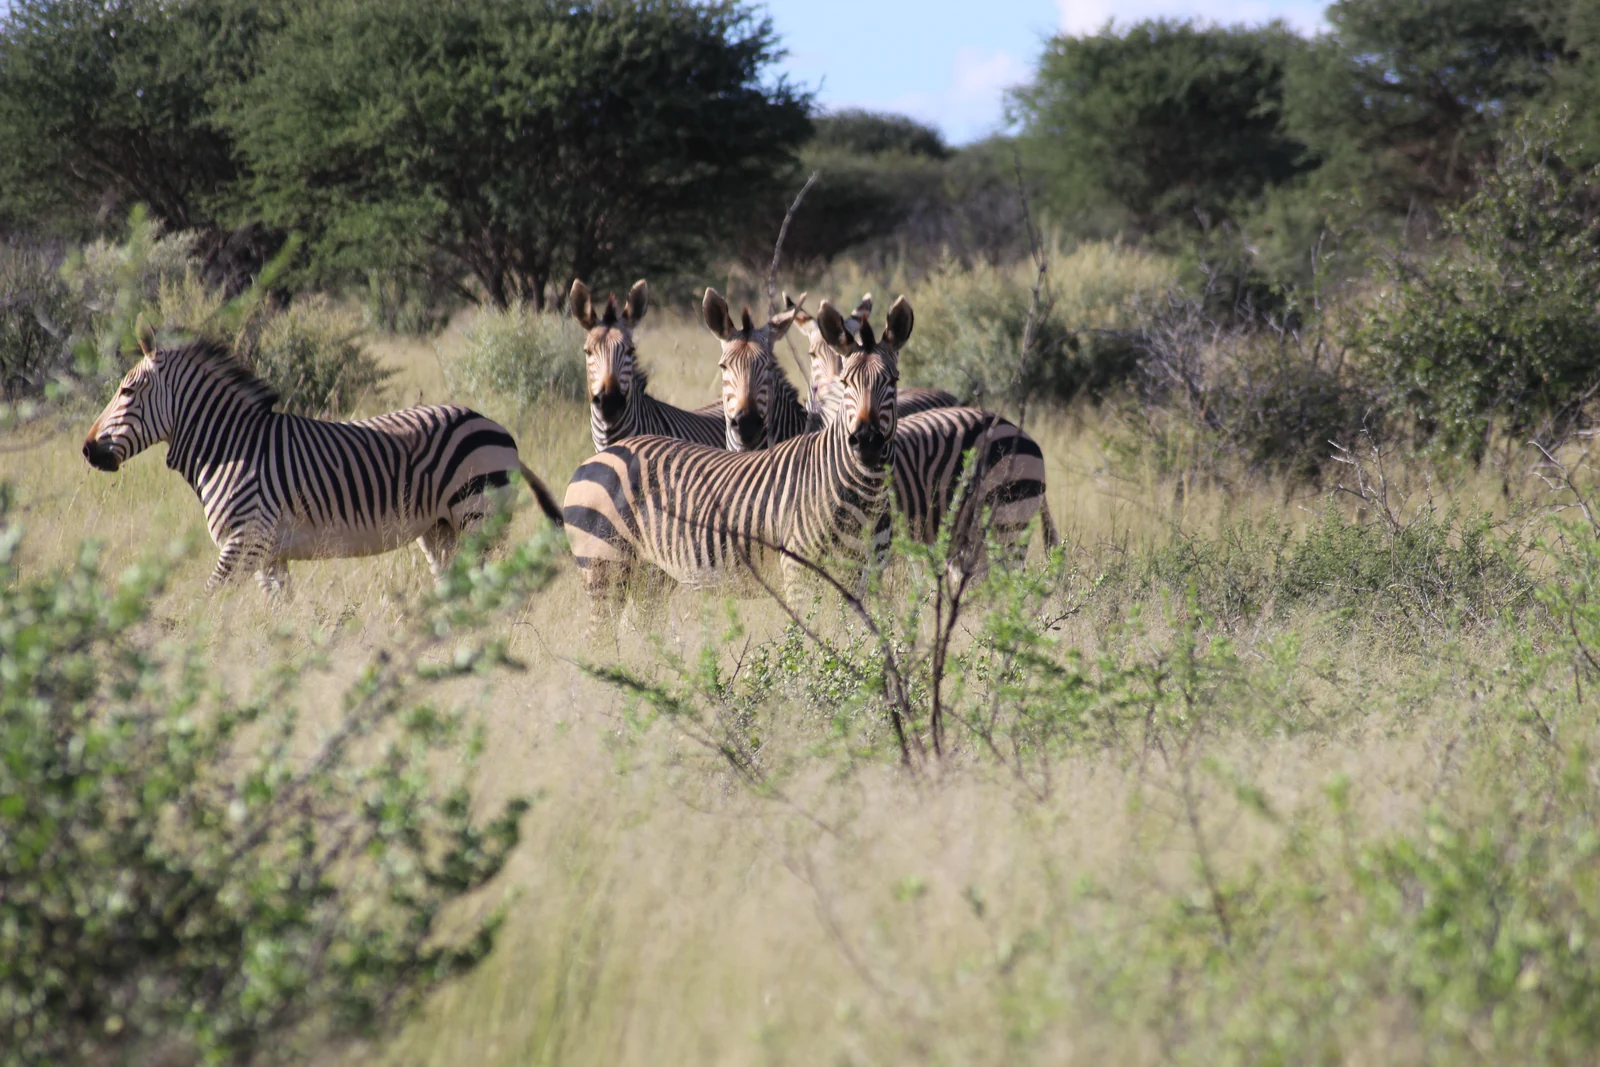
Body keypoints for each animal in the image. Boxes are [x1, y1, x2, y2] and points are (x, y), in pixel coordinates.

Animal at [81, 337, 564, 594]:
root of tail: (497, 427)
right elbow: (278, 612)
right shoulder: (268, 551)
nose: (87, 451)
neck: (229, 447)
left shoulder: (244, 540)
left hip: (477, 513)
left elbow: (210, 599)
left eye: (126, 392)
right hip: (440, 529)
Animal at [562, 297, 907, 616]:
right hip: (602, 565)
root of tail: (598, 458)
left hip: (650, 574)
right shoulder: (800, 574)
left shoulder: (863, 577)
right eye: (847, 383)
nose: (867, 442)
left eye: (893, 381)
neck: (865, 492)